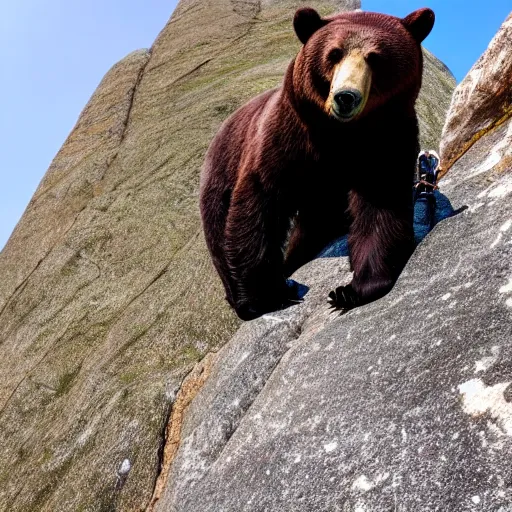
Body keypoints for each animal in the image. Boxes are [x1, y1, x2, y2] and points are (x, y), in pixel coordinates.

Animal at [200, 7, 436, 320]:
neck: (339, 134)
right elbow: (259, 203)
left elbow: (380, 202)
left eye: (375, 57)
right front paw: (268, 296)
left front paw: (352, 290)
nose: (346, 97)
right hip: (222, 170)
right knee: (218, 227)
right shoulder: (285, 138)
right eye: (333, 53)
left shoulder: (386, 139)